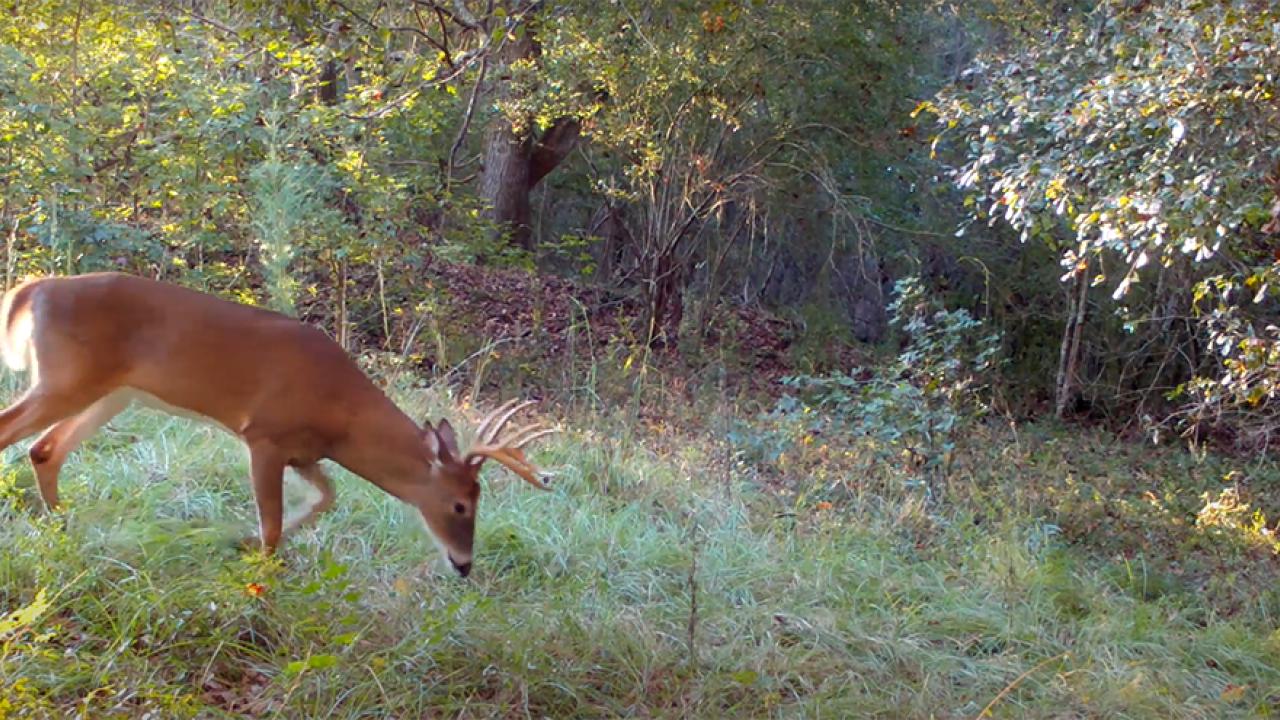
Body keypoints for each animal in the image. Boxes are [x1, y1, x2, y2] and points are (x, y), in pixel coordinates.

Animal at [0, 272, 555, 577]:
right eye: (461, 504)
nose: (464, 565)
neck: (342, 414)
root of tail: (34, 289)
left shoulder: (304, 450)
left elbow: (327, 497)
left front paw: (244, 540)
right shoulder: (263, 433)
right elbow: (271, 524)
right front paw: (258, 570)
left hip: (112, 394)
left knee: (44, 449)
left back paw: (64, 526)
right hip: (66, 379)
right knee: (15, 431)